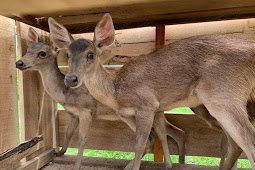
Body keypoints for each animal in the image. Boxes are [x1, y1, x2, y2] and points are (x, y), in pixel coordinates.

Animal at [16, 25, 187, 169]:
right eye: (27, 49)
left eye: (42, 53)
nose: (19, 62)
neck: (65, 94)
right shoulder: (73, 114)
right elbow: (68, 133)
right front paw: (59, 152)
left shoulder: (87, 109)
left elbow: (82, 138)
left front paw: (76, 165)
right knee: (171, 133)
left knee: (164, 134)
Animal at [50, 13, 255, 170]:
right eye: (67, 54)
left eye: (90, 54)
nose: (71, 79)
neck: (117, 91)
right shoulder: (153, 109)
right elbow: (161, 137)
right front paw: (168, 165)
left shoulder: (146, 105)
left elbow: (140, 143)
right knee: (235, 143)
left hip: (222, 96)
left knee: (248, 142)